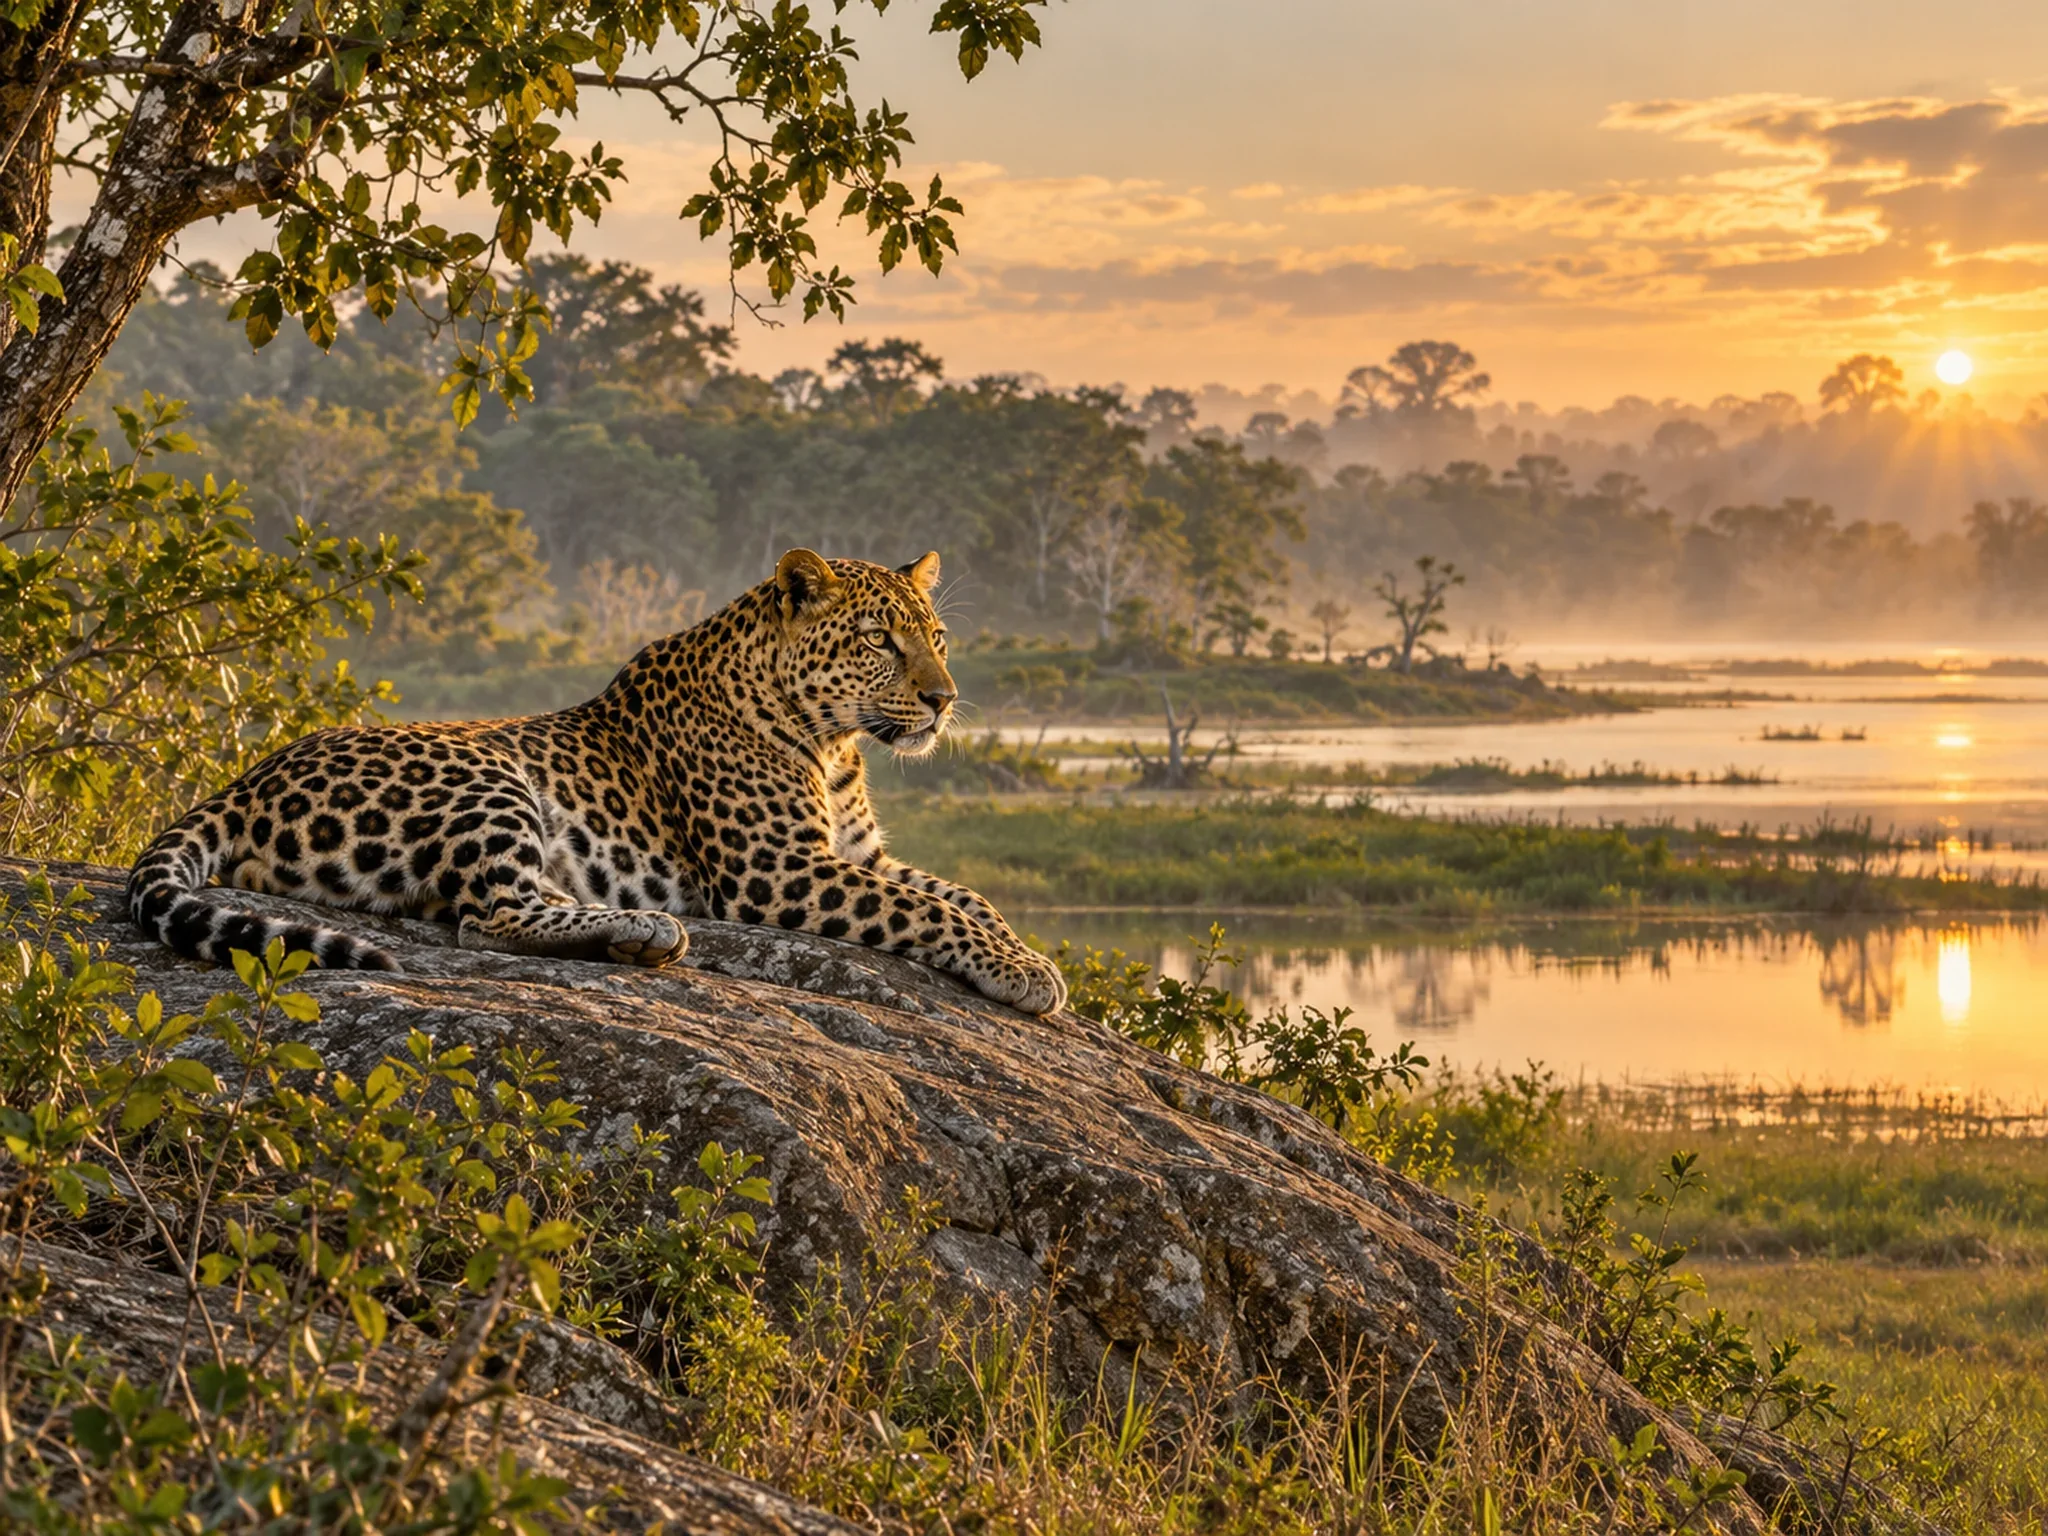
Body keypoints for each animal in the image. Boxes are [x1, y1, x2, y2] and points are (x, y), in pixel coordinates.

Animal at [126, 549, 1068, 1015]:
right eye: (878, 640)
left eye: (936, 638)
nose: (945, 701)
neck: (837, 747)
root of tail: (251, 774)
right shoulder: (779, 872)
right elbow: (930, 909)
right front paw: (1025, 975)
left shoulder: (860, 857)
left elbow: (969, 896)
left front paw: (1024, 955)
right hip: (486, 778)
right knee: (487, 917)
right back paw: (646, 930)